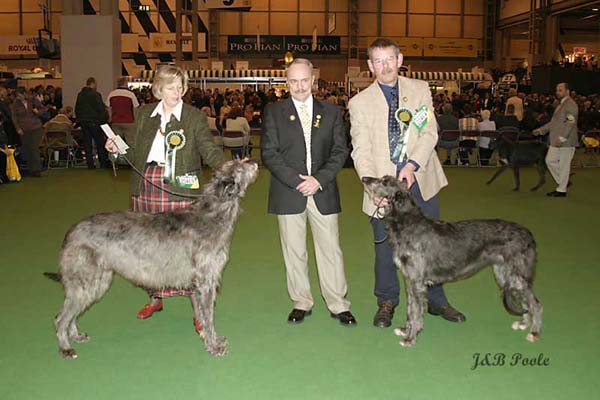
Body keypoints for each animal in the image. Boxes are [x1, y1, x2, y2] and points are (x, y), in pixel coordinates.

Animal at [52, 159, 258, 360]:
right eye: (241, 166)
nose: (255, 162)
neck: (213, 214)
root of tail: (72, 231)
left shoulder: (199, 283)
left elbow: (202, 314)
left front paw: (210, 338)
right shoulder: (206, 281)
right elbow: (209, 316)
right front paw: (214, 346)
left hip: (97, 281)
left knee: (73, 314)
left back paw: (76, 335)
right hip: (84, 279)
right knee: (61, 318)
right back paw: (65, 348)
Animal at [360, 175, 544, 346]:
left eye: (385, 181)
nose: (364, 178)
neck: (407, 223)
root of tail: (529, 234)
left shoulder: (417, 281)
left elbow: (415, 311)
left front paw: (410, 338)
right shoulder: (409, 280)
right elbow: (410, 308)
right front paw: (406, 330)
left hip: (517, 275)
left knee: (536, 304)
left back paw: (534, 332)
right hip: (504, 275)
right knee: (525, 301)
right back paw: (523, 324)